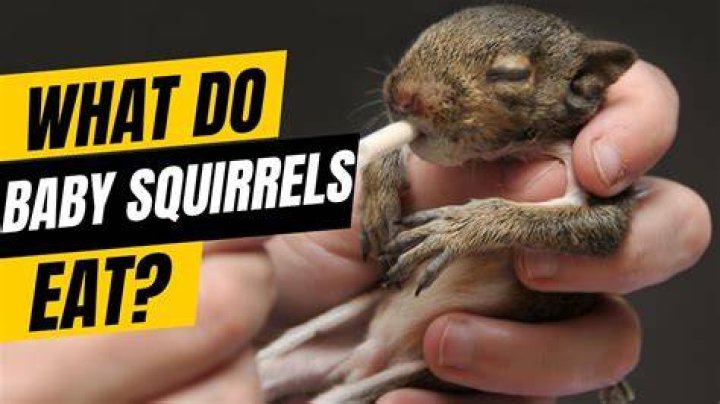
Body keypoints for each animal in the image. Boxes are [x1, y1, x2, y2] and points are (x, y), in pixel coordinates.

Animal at [258, 5, 639, 404]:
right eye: (422, 38)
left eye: (513, 74)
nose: (401, 97)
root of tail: (367, 356)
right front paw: (378, 192)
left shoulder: (601, 190)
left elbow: (584, 225)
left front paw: (456, 229)